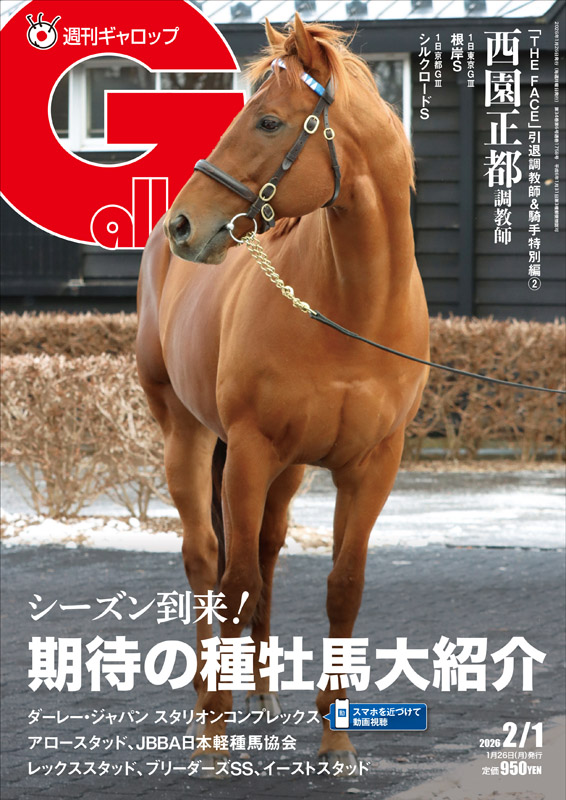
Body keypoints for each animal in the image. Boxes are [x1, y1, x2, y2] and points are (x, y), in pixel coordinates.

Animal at [136, 14, 429, 773]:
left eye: (269, 121)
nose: (183, 224)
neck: (351, 309)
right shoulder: (247, 450)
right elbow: (233, 584)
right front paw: (214, 731)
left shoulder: (371, 466)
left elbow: (342, 588)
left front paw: (337, 738)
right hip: (189, 437)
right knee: (206, 558)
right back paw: (208, 700)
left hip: (291, 469)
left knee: (266, 549)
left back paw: (264, 691)